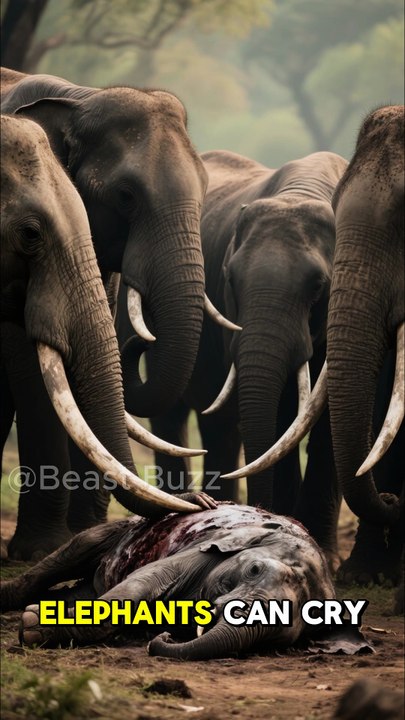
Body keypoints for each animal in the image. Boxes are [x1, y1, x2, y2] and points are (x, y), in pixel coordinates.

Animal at [1, 503, 370, 659]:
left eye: (282, 630)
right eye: (253, 570)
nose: (163, 635)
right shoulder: (209, 545)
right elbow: (144, 583)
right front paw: (32, 627)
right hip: (133, 526)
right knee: (75, 551)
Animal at [148, 150, 348, 567]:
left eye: (319, 286)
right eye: (230, 279)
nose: (267, 520)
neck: (302, 192)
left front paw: (325, 554)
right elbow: (279, 419)